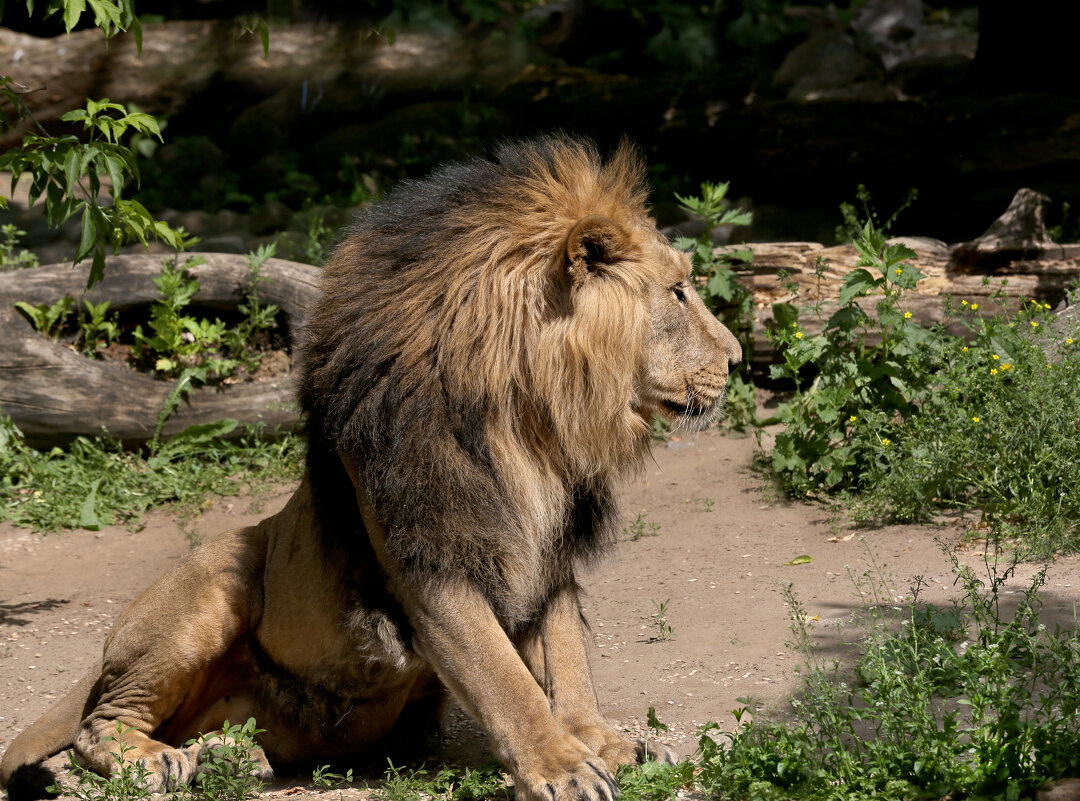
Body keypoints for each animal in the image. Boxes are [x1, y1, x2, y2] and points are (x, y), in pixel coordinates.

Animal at [0, 136, 743, 801]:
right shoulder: (429, 557)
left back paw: (228, 756)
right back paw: (156, 761)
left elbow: (565, 663)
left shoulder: (548, 549)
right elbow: (505, 677)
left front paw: (605, 744)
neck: (531, 418)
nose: (737, 359)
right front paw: (561, 766)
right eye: (679, 292)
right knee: (99, 723)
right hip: (214, 585)